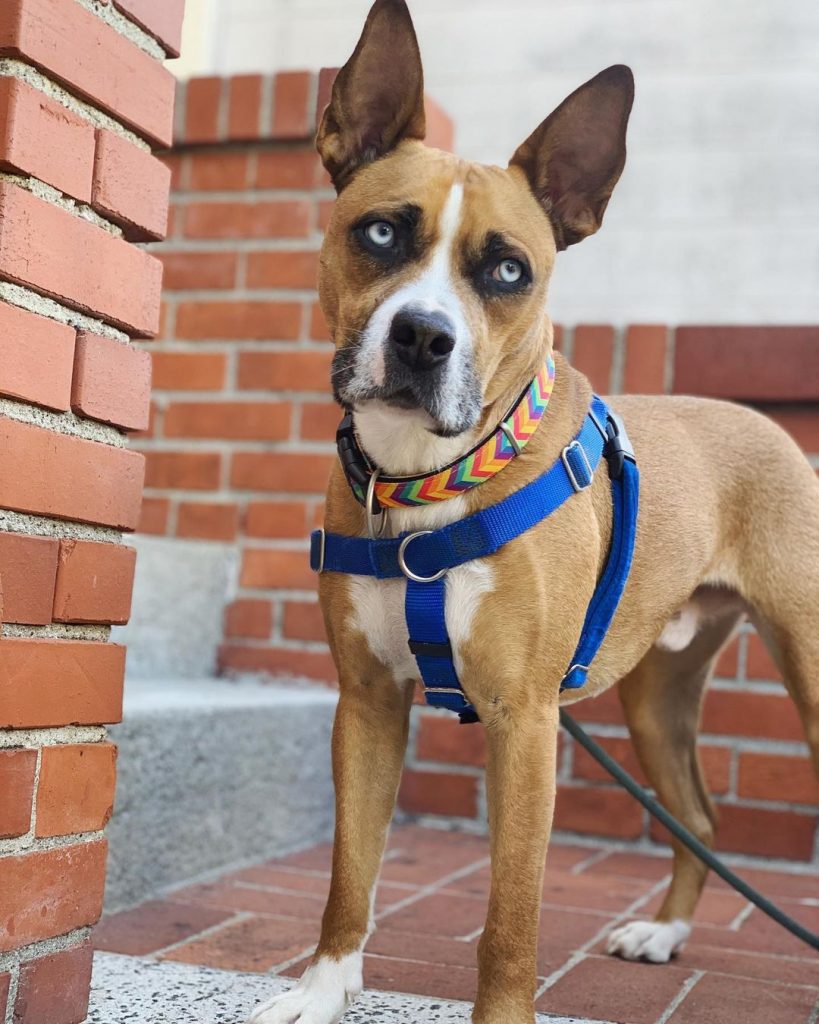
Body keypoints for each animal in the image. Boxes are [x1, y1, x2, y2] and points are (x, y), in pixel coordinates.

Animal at [249, 4, 818, 1019]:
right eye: (380, 233)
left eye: (508, 271)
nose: (422, 337)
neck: (426, 486)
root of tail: (766, 424)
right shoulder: (366, 704)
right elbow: (349, 874)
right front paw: (321, 988)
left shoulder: (524, 723)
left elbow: (509, 920)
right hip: (654, 698)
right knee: (698, 815)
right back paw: (663, 933)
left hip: (807, 665)